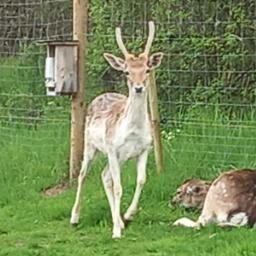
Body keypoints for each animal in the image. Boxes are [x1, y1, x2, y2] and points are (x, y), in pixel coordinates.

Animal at [69, 21, 164, 238]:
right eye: (127, 71)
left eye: (147, 69)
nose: (138, 88)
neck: (133, 131)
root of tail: (99, 96)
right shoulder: (112, 149)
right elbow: (119, 186)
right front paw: (116, 232)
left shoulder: (144, 149)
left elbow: (141, 180)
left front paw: (128, 215)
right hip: (91, 146)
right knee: (83, 174)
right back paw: (75, 217)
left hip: (120, 157)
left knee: (105, 176)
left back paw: (119, 220)